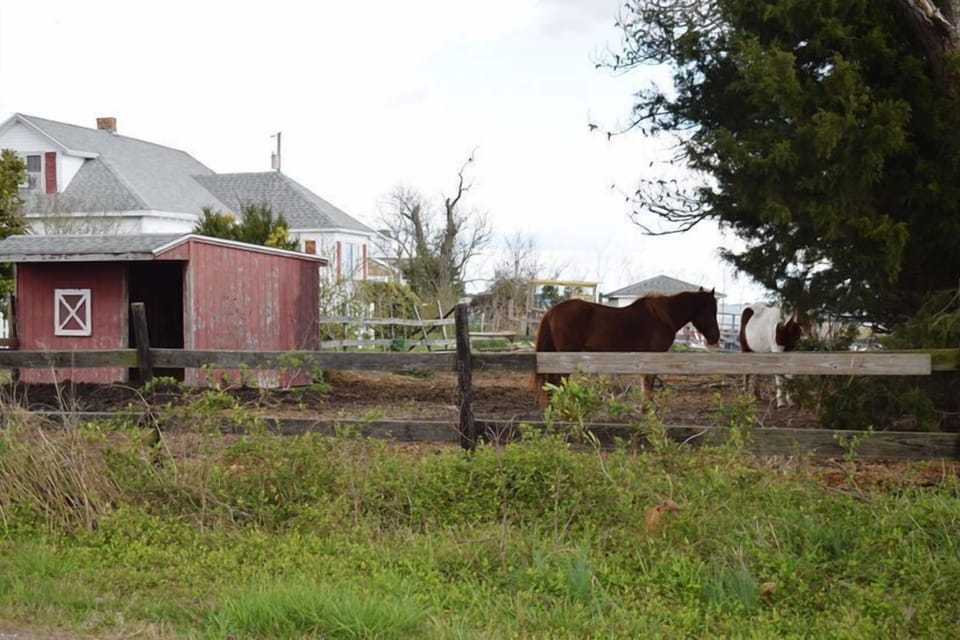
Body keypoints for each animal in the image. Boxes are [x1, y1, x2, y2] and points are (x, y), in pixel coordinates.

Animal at [533, 288, 721, 407]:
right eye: (711, 311)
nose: (715, 337)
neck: (663, 317)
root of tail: (552, 311)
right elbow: (649, 385)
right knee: (557, 382)